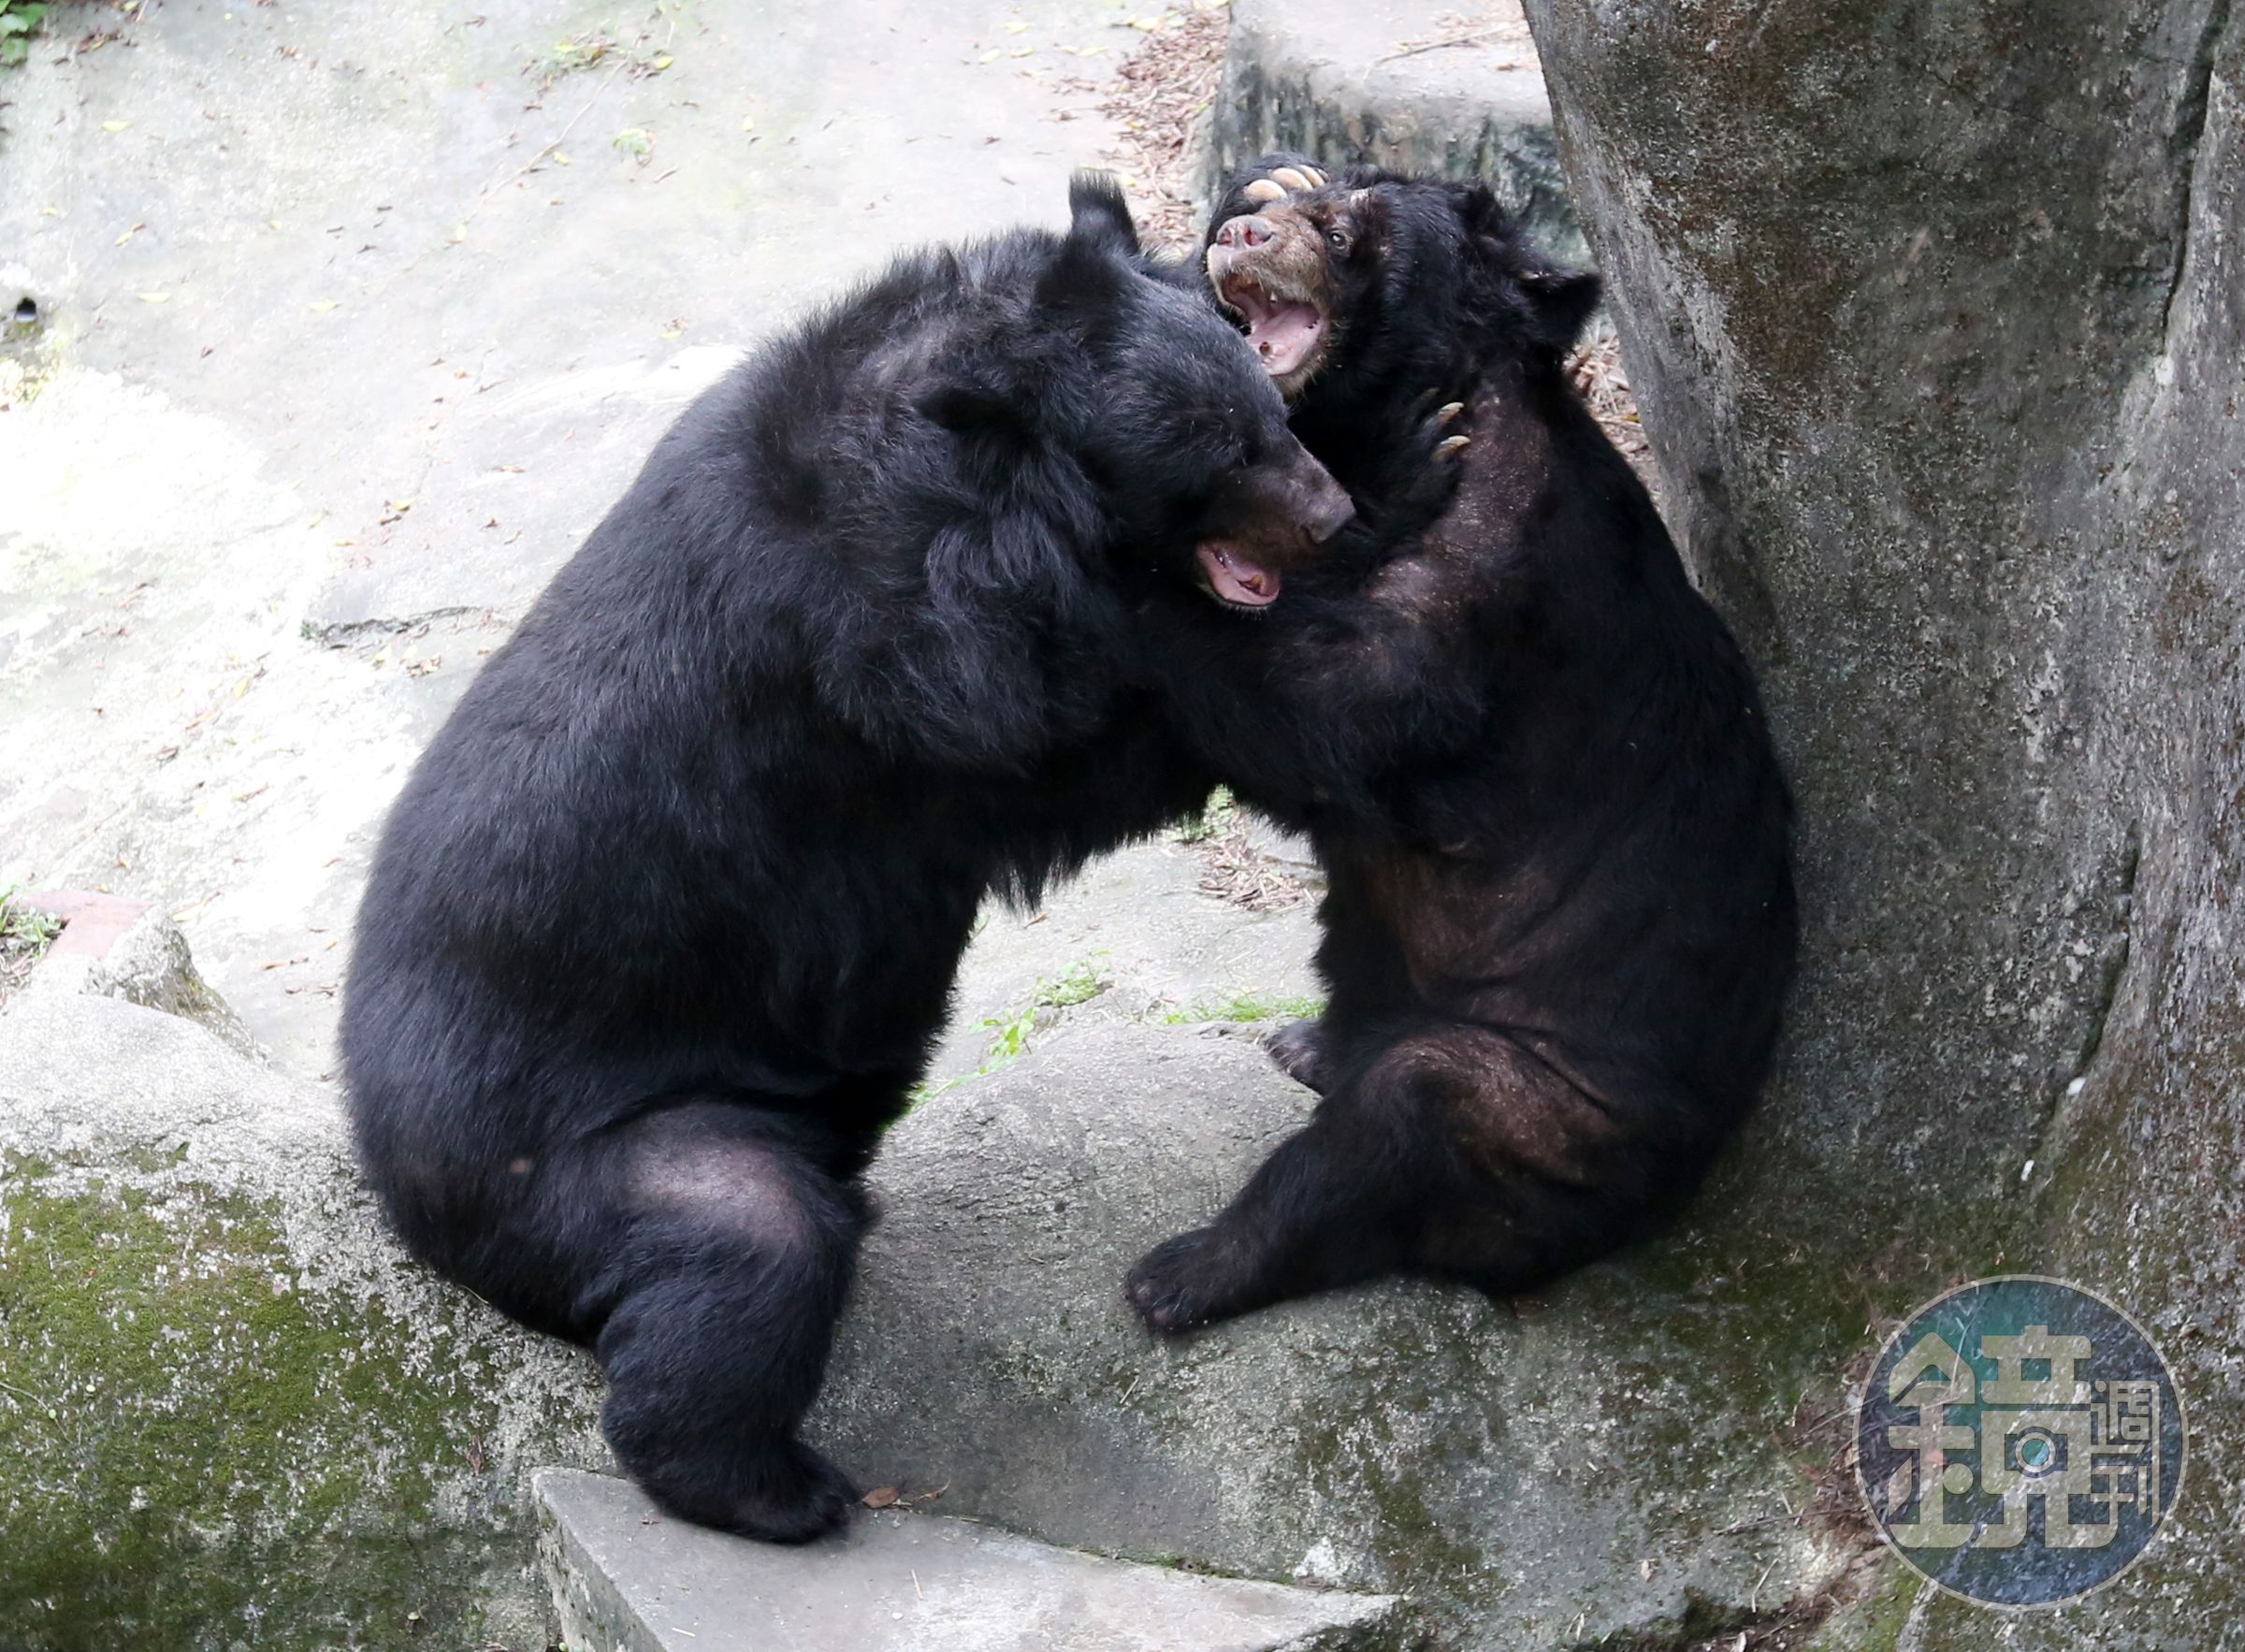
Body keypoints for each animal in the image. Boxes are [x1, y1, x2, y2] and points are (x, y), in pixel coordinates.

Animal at [338, 174, 1352, 1543]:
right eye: (1224, 458)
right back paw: (783, 1488)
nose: (1332, 515)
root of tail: (386, 1167)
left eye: (1272, 417)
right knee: (745, 1244)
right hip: (572, 1158)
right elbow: (1069, 734)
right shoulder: (891, 653)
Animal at [1121, 155, 1799, 1332]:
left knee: (1402, 1114)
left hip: (1549, 1121)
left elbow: (1343, 706)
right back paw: (1312, 1041)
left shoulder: (1489, 563)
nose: (1241, 232)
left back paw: (1186, 1268)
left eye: (1348, 231)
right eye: (1300, 197)